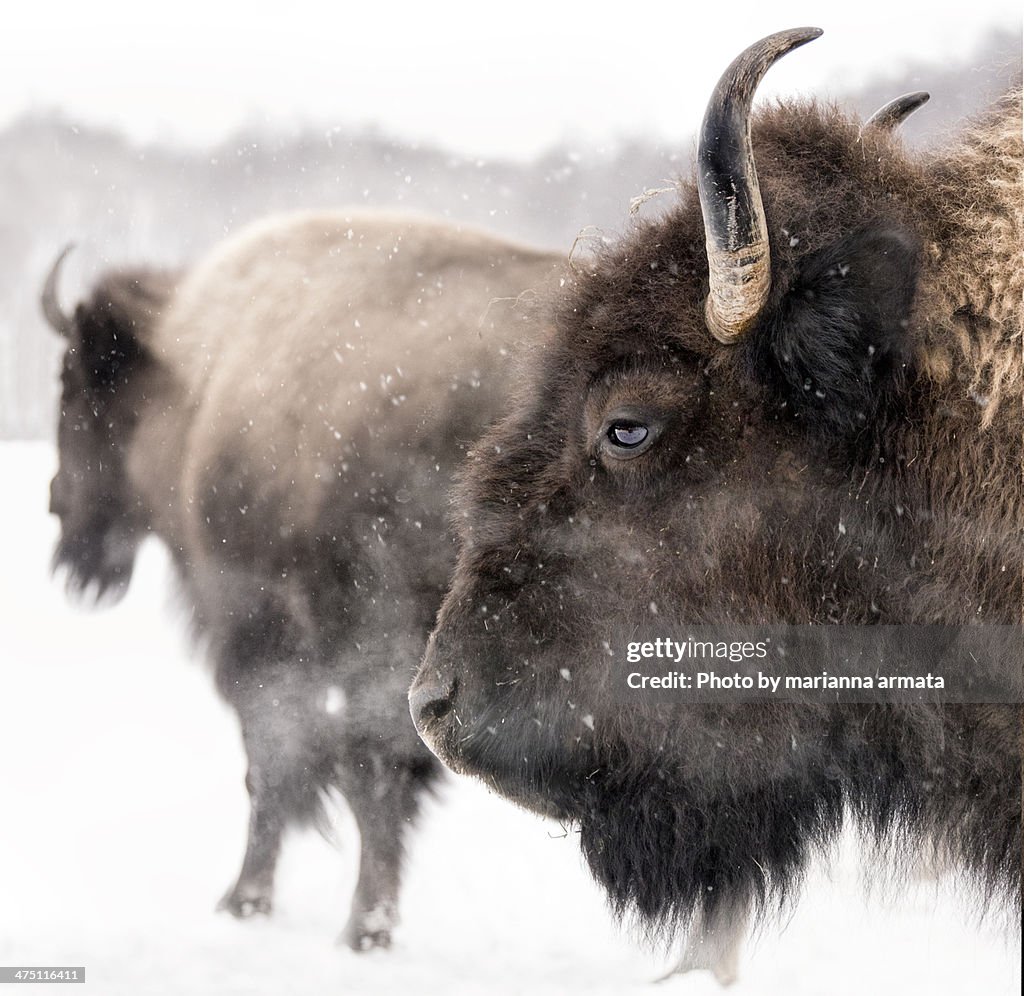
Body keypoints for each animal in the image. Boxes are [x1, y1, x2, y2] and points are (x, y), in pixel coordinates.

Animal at [44, 212, 560, 948]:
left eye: (74, 386)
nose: (57, 507)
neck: (195, 380)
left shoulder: (266, 632)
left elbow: (288, 763)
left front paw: (258, 903)